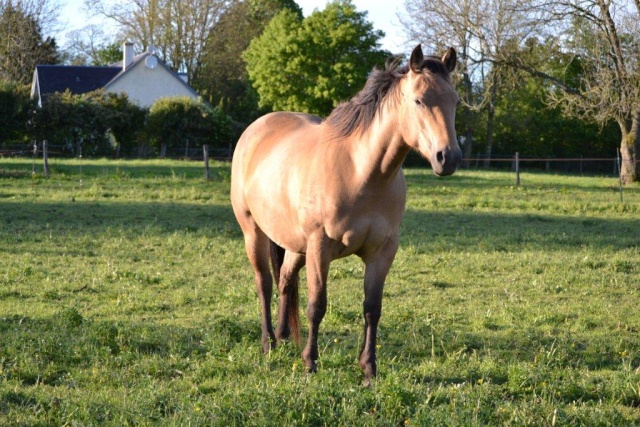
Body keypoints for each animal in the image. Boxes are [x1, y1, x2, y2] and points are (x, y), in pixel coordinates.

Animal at [230, 44, 460, 384]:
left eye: (455, 101)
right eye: (419, 100)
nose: (449, 157)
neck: (360, 172)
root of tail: (257, 128)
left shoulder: (382, 251)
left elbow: (372, 308)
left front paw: (369, 368)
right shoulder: (320, 246)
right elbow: (317, 305)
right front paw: (310, 363)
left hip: (296, 245)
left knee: (285, 280)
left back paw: (284, 337)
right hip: (254, 233)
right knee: (265, 283)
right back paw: (268, 343)